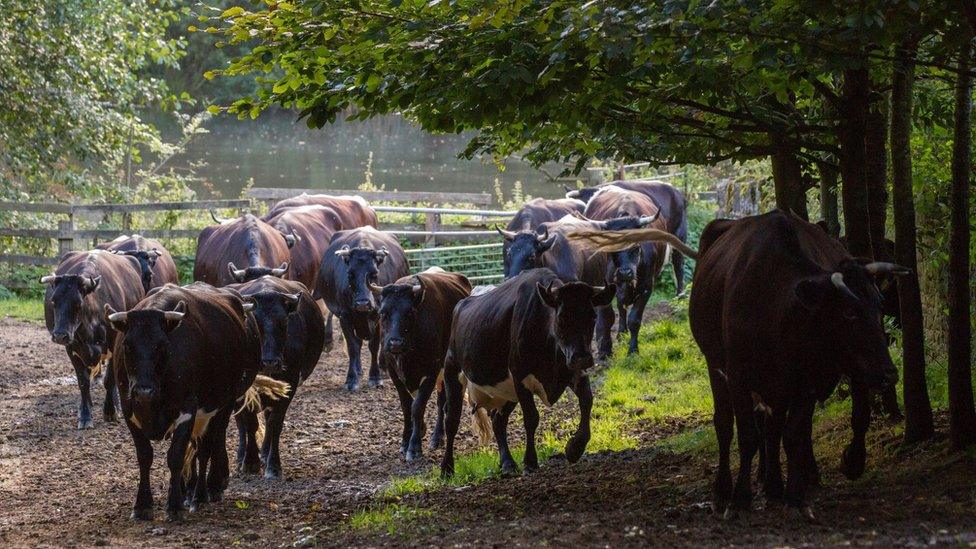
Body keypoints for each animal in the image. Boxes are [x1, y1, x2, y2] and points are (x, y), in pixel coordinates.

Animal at [42, 248, 147, 428]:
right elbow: (83, 382)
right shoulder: (72, 347)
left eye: (78, 303)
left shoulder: (114, 343)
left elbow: (109, 380)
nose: (59, 335)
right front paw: (85, 415)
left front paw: (110, 411)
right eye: (53, 301)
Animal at [316, 226, 408, 390]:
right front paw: (351, 378)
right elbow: (353, 346)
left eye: (375, 273)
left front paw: (376, 377)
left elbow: (374, 345)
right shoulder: (345, 316)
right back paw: (358, 370)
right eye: (350, 274)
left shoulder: (378, 316)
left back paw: (383, 368)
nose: (363, 303)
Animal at [374, 268, 472, 460]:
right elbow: (407, 406)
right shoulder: (393, 373)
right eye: (383, 313)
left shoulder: (431, 372)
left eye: (410, 313)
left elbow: (418, 406)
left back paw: (437, 437)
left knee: (441, 403)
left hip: (444, 371)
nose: (395, 343)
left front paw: (414, 447)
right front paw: (406, 440)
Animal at [440, 268, 612, 476]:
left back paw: (507, 463)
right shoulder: (520, 376)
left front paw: (575, 448)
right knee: (452, 419)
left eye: (592, 316)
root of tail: (462, 303)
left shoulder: (574, 373)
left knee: (498, 420)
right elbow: (531, 417)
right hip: (452, 371)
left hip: (507, 392)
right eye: (561, 318)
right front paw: (530, 461)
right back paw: (447, 468)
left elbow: (587, 401)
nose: (582, 357)